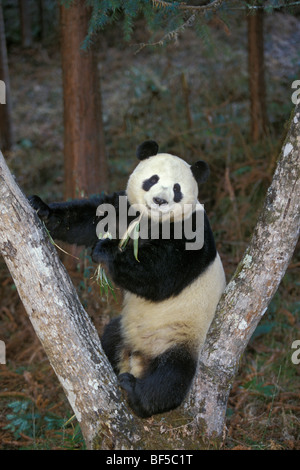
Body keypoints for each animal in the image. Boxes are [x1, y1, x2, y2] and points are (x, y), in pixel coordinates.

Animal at [30, 140, 226, 418]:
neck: (153, 221)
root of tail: (138, 357)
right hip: (124, 329)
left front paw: (107, 251)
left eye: (177, 189)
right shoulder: (126, 211)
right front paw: (42, 209)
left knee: (171, 377)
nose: (159, 200)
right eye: (152, 179)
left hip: (183, 337)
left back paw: (137, 394)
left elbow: (160, 277)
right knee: (110, 338)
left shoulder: (192, 233)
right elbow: (90, 218)